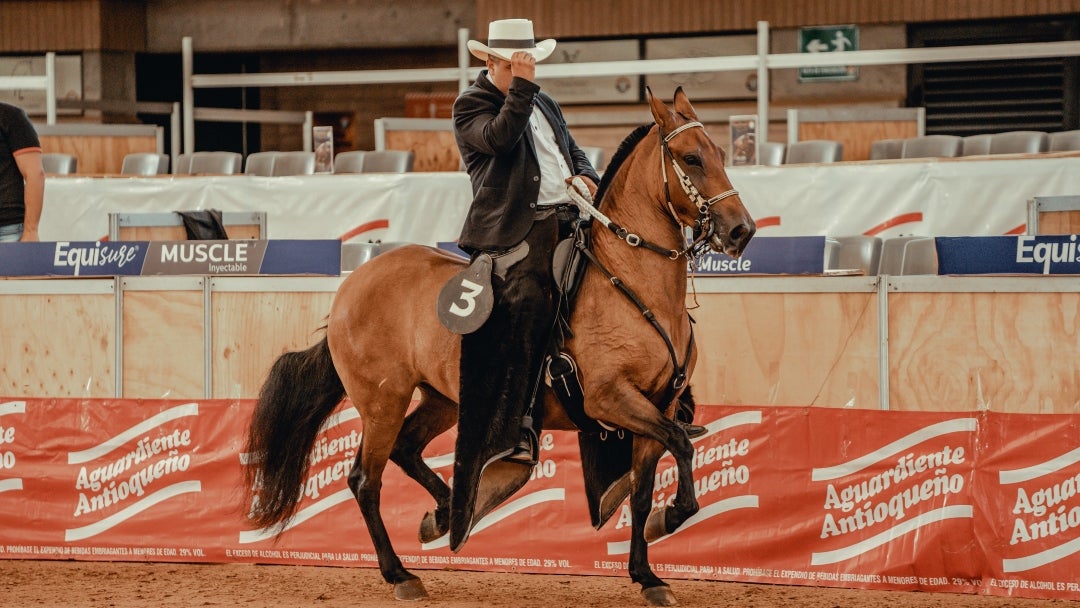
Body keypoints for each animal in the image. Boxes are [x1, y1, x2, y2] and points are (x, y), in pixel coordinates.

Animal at [245, 86, 756, 608]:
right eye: (691, 158)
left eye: (719, 153)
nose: (741, 230)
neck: (630, 282)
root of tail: (354, 284)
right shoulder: (610, 398)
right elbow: (681, 445)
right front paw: (666, 522)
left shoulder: (658, 404)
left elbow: (645, 485)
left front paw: (648, 573)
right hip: (382, 401)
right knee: (365, 480)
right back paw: (401, 573)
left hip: (445, 399)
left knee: (406, 450)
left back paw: (445, 514)